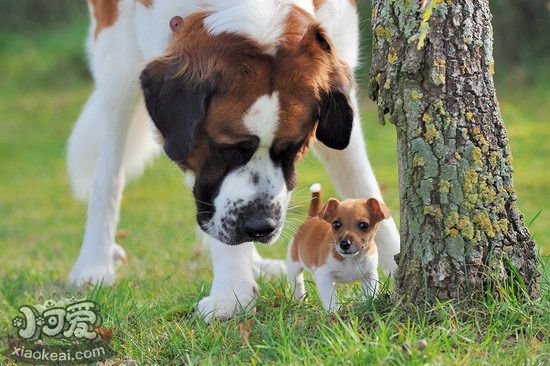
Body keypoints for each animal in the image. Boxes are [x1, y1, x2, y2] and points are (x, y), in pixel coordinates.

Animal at [288, 183, 392, 312]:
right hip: (293, 265)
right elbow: (329, 298)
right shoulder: (324, 275)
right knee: (297, 282)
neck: (351, 260)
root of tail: (311, 218)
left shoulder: (369, 275)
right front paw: (333, 313)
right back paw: (299, 300)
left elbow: (369, 294)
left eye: (364, 225)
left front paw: (367, 305)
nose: (344, 244)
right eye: (336, 224)